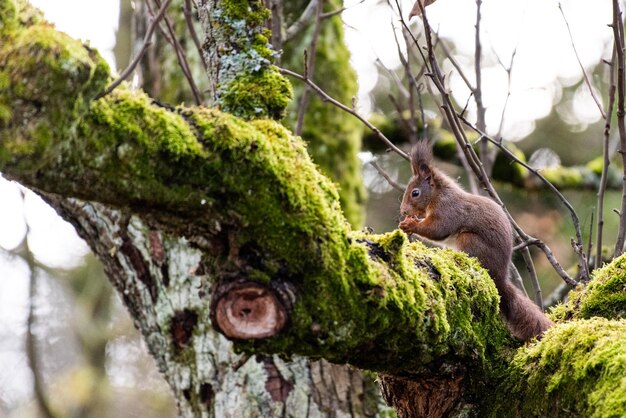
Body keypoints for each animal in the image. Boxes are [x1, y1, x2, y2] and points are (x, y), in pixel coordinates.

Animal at [400, 142, 552, 342]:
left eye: (415, 193)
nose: (402, 211)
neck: (438, 194)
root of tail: (499, 277)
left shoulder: (448, 210)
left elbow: (438, 229)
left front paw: (410, 224)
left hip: (469, 240)